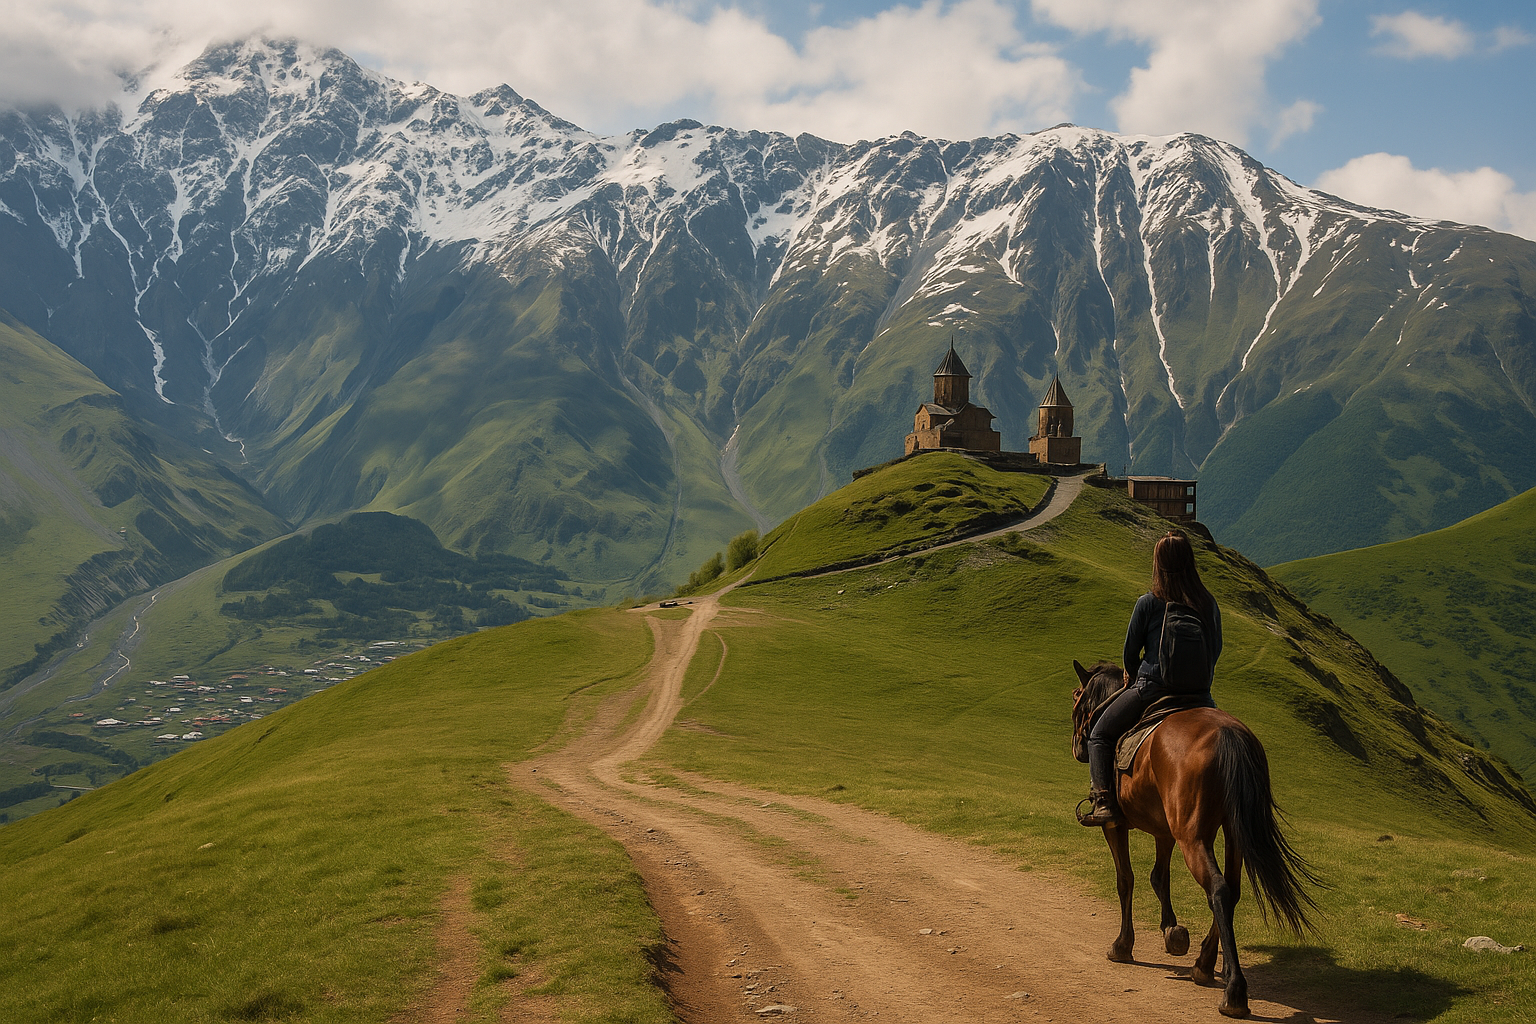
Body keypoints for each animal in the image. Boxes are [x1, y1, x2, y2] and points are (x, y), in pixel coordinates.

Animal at [1069, 659, 1320, 1019]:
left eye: (1076, 696)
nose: (1077, 746)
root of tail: (1230, 735)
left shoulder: (1114, 826)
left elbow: (1125, 880)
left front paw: (1123, 945)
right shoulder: (1164, 831)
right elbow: (1159, 877)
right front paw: (1173, 933)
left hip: (1192, 836)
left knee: (1217, 888)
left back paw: (1233, 992)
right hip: (1232, 831)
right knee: (1231, 889)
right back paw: (1205, 964)